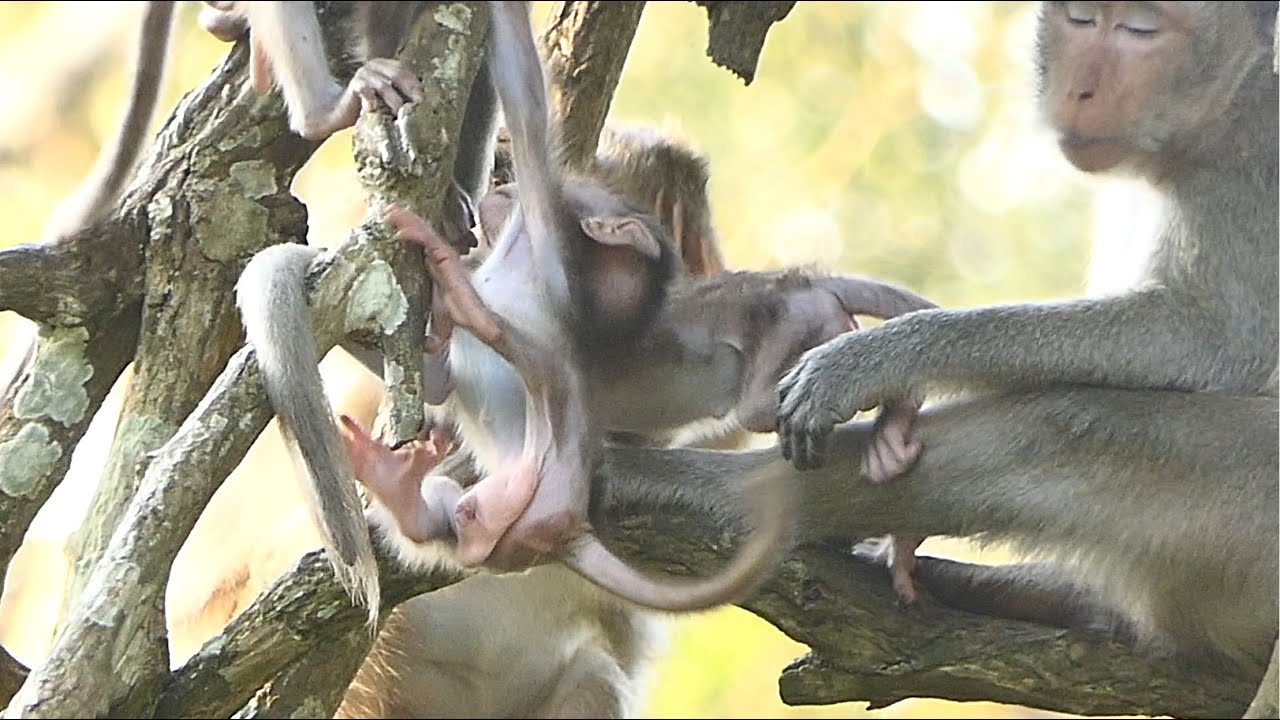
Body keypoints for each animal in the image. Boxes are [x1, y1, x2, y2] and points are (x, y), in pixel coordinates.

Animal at [765, 0, 1278, 672]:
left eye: (1141, 30)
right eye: (1081, 19)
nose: (1080, 90)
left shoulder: (1251, 166)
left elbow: (1209, 338)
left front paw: (878, 360)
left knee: (1064, 423)